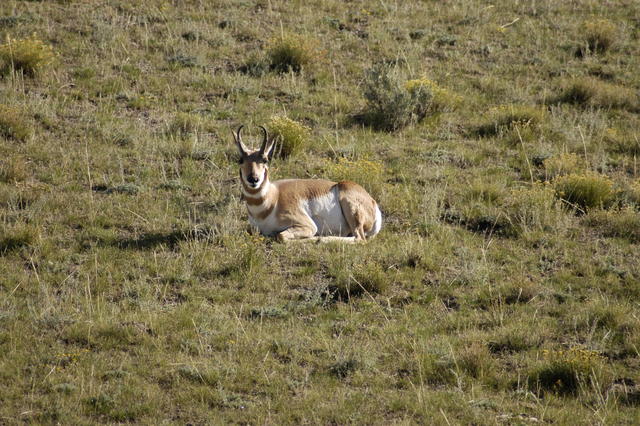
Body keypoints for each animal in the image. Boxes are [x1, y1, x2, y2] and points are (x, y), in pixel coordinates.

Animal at [235, 125, 382, 241]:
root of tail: (372, 202)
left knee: (359, 239)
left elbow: (281, 236)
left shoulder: (307, 225)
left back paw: (321, 239)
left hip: (350, 209)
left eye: (265, 160)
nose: (253, 179)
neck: (273, 198)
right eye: (240, 160)